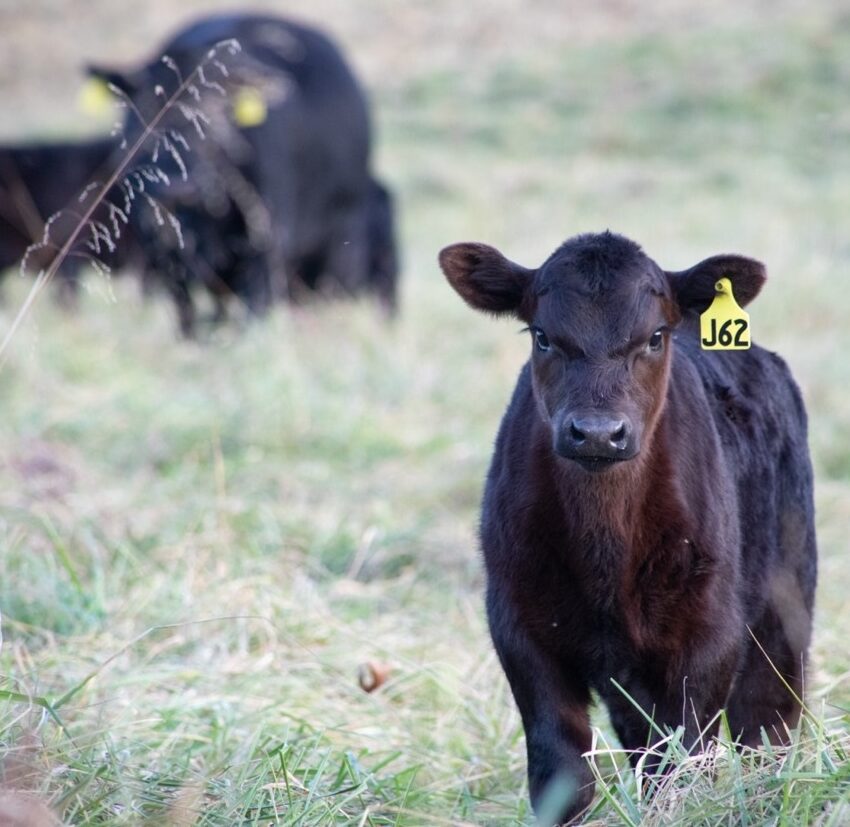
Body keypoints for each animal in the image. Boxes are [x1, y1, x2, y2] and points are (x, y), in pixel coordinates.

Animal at [88, 13, 400, 336]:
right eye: (143, 122)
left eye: (217, 123)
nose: (176, 188)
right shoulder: (160, 245)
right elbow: (186, 312)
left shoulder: (268, 238)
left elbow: (253, 308)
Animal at [438, 230, 816, 824]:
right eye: (542, 337)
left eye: (655, 337)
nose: (597, 433)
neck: (606, 553)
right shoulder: (519, 626)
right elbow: (562, 769)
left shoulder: (711, 633)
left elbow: (683, 760)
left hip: (786, 605)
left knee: (766, 727)